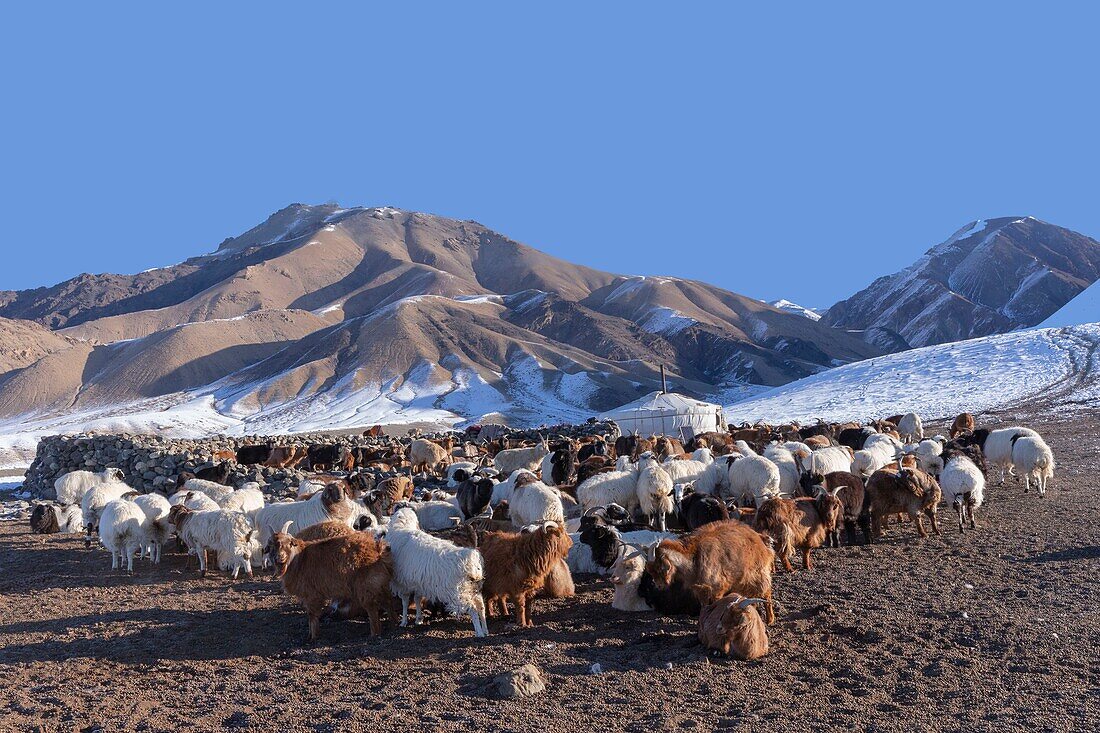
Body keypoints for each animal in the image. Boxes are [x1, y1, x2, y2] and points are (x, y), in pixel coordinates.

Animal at [642, 519, 778, 620]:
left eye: (660, 568)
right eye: (650, 570)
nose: (658, 586)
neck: (694, 557)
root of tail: (761, 538)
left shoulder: (718, 589)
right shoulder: (701, 590)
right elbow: (704, 606)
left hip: (758, 574)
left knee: (767, 592)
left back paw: (770, 619)